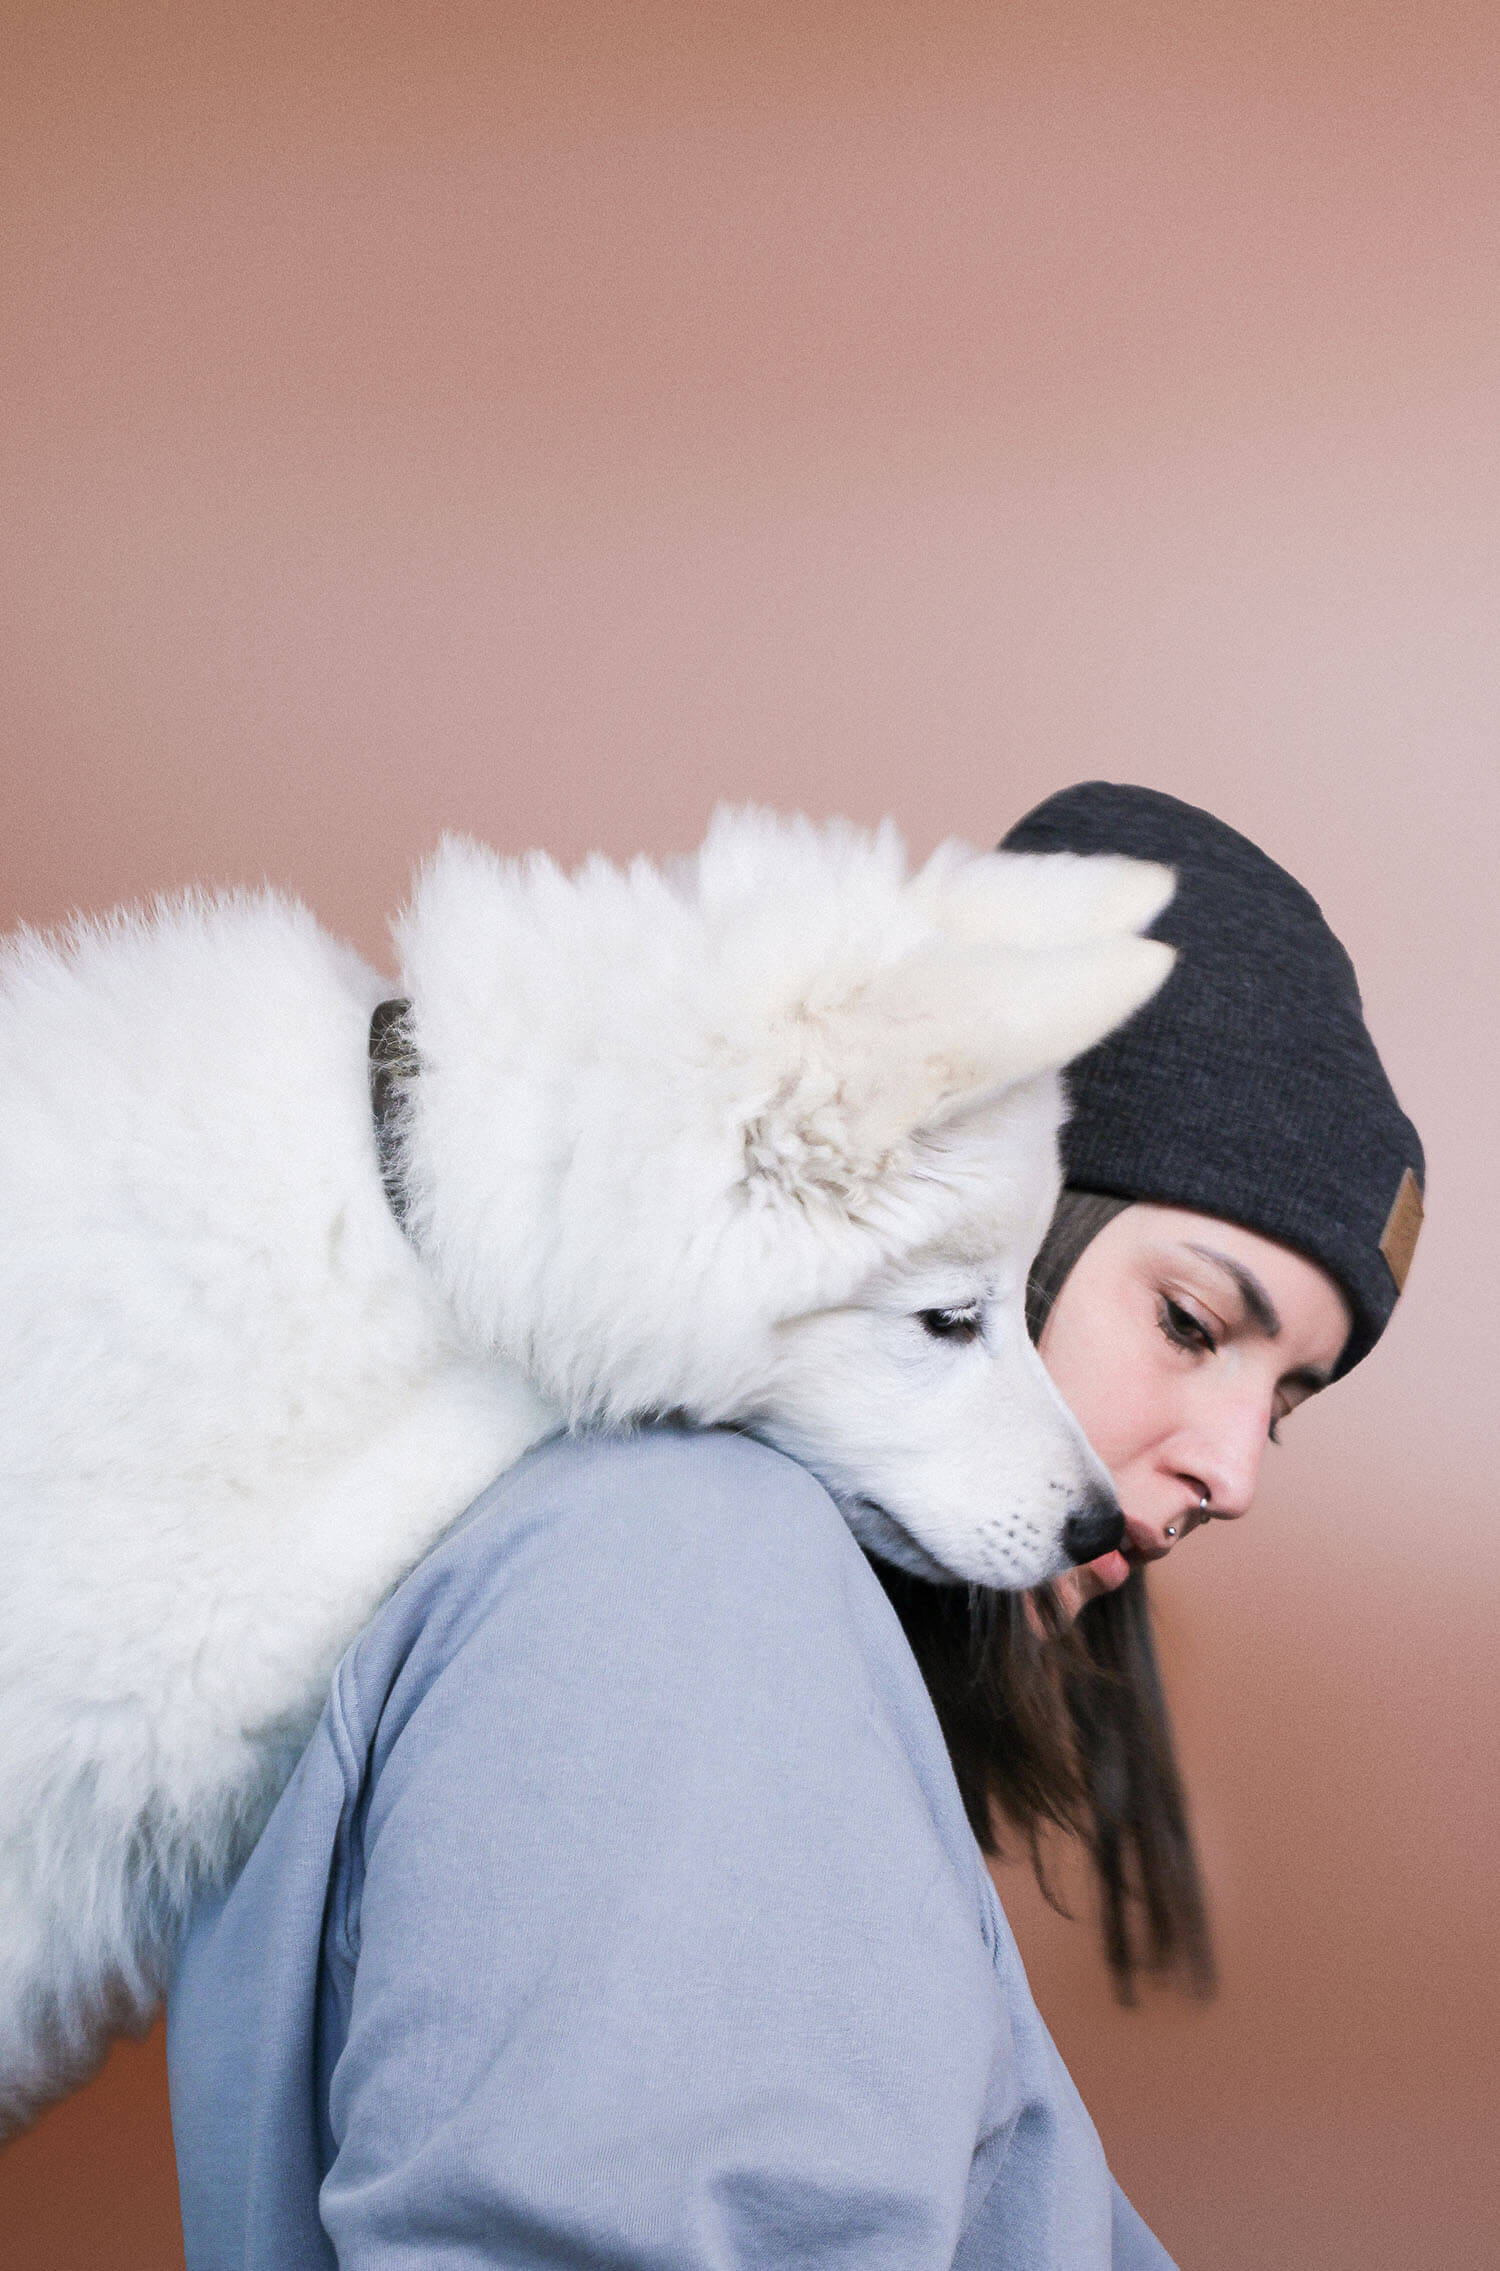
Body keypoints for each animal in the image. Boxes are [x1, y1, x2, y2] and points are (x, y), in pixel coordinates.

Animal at [0, 813, 1170, 2125]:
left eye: (1016, 1302)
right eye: (947, 1321)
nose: (1104, 1530)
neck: (403, 1186)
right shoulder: (157, 1669)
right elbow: (527, 1379)